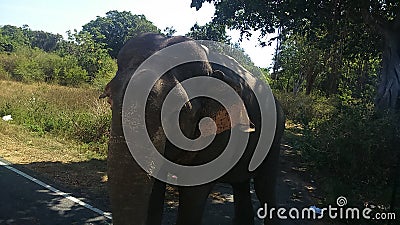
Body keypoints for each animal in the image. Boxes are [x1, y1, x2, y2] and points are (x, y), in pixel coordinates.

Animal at [101, 33, 286, 225]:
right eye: (110, 100)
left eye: (176, 109)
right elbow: (155, 189)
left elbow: (194, 194)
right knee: (240, 184)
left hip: (274, 138)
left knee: (264, 188)